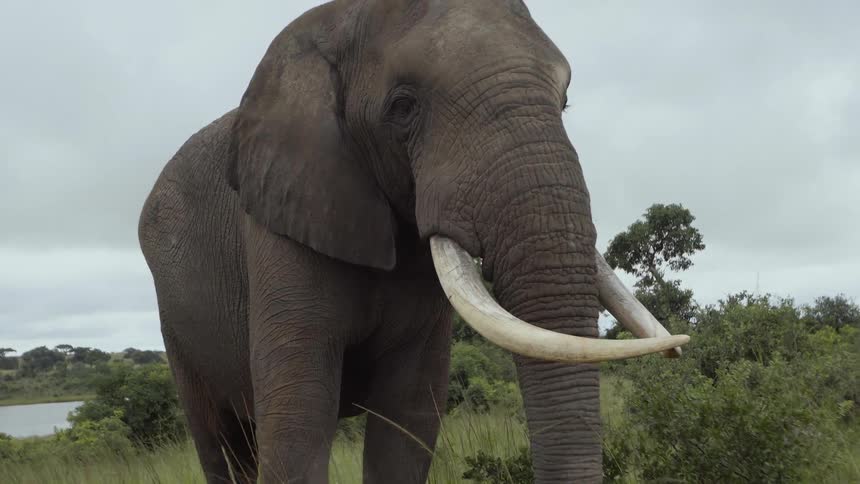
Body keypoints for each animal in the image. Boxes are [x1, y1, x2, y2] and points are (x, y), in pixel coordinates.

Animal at [138, 1, 688, 483]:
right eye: (403, 107)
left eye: (565, 100)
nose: (680, 346)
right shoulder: (279, 218)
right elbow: (300, 419)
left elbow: (408, 421)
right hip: (176, 329)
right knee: (221, 445)